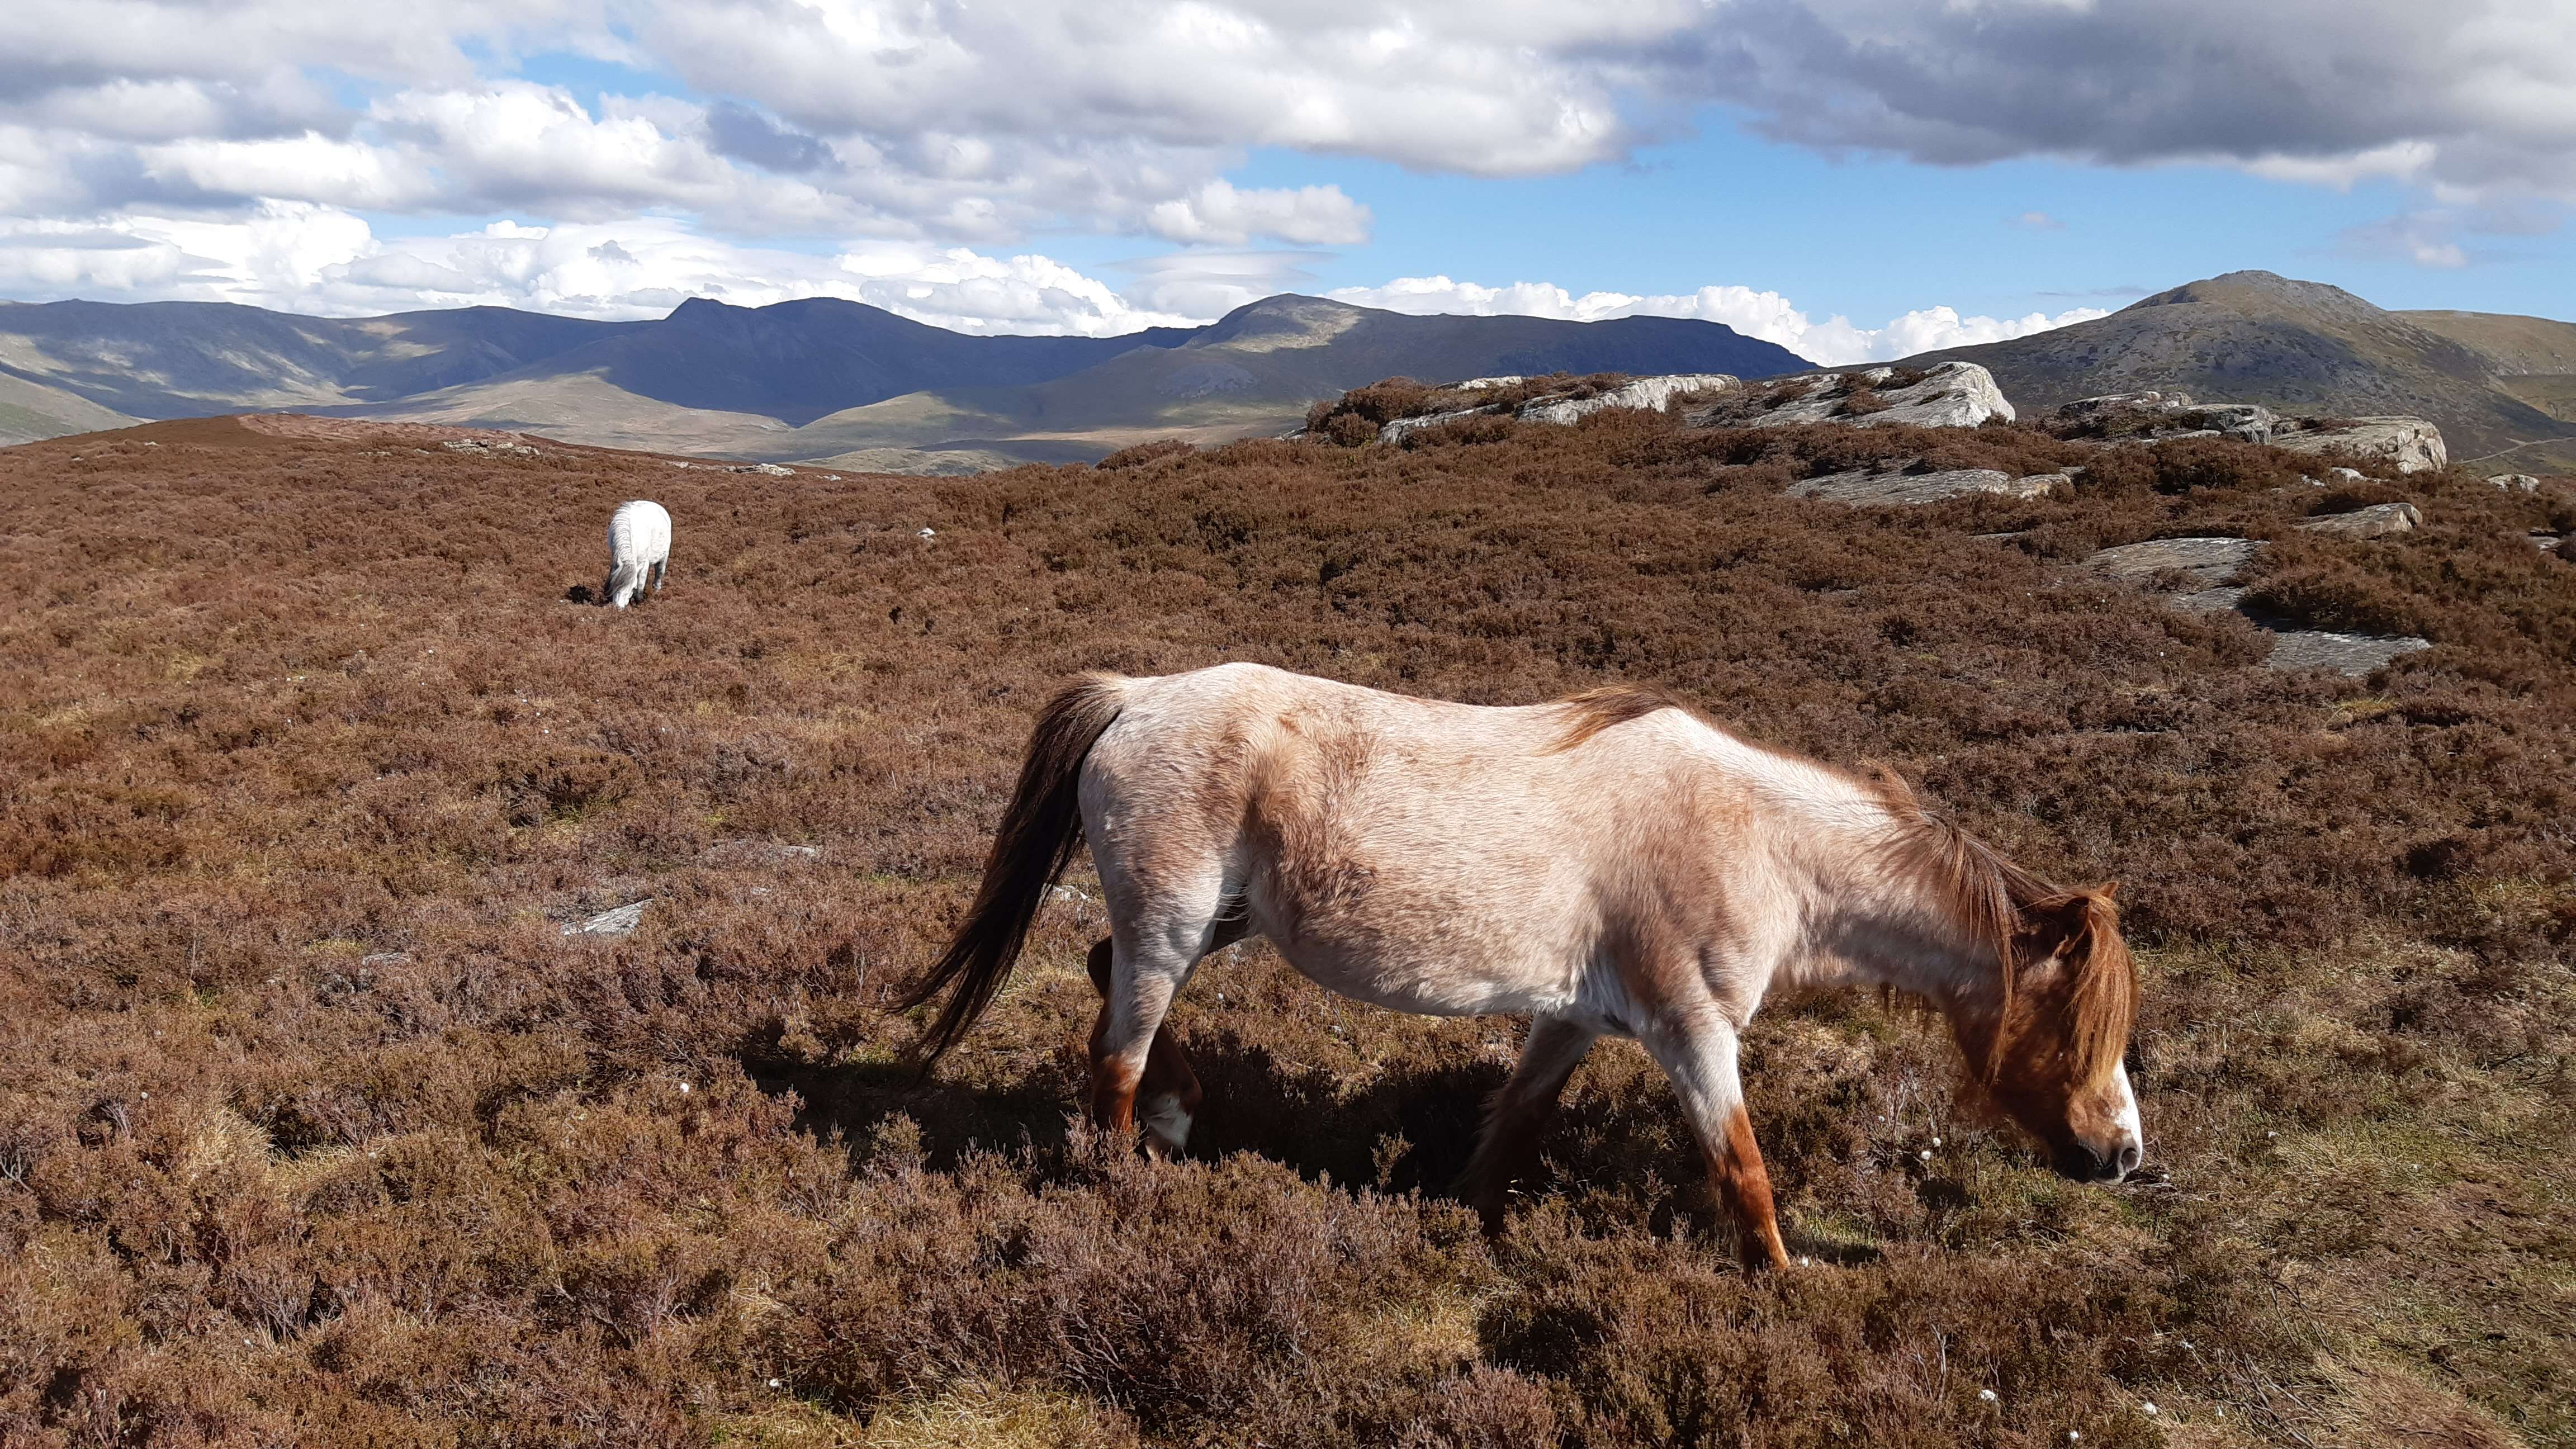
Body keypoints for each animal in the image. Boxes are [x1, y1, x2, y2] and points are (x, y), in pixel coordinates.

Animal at [598, 500, 670, 605]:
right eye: (616, 586)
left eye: (633, 588)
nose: (618, 607)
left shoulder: (645, 563)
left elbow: (641, 582)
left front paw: (639, 600)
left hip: (664, 556)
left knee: (659, 571)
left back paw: (657, 589)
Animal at [896, 665, 2143, 1263]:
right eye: (2076, 1029)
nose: (2121, 1156)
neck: (1756, 838)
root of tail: (1138, 696)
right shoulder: (1692, 1033)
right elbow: (1743, 1170)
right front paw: (1786, 1291)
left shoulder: (1576, 1019)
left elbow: (1514, 1126)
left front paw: (1462, 1227)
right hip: (1178, 921)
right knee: (1112, 1052)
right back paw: (1124, 1176)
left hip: (1213, 922)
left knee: (1106, 977)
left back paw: (1177, 1114)